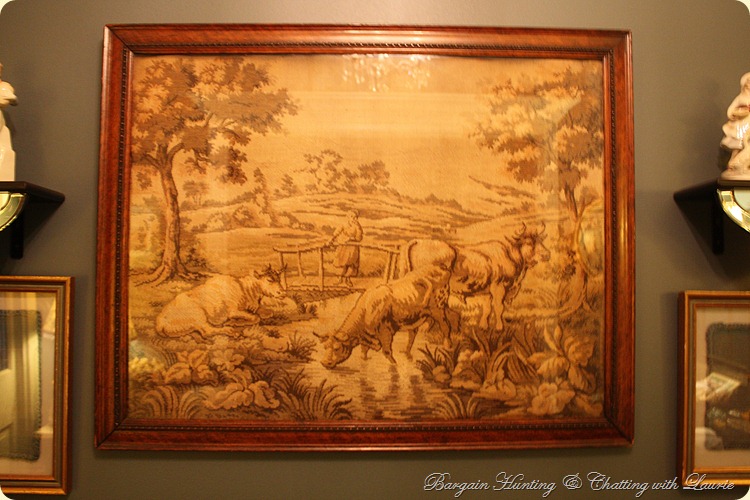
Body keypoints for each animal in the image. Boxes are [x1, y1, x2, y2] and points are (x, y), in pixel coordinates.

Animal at [155, 264, 286, 339]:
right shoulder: (233, 311)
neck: (246, 289)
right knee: (207, 332)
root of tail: (160, 323)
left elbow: (267, 313)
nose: (282, 293)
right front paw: (233, 323)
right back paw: (231, 331)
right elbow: (255, 318)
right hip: (199, 317)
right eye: (269, 279)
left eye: (278, 279)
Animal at [314, 261, 457, 369]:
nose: (324, 363)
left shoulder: (386, 331)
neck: (367, 308)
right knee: (413, 333)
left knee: (445, 326)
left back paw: (448, 346)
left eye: (337, 348)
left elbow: (387, 351)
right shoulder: (368, 335)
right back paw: (407, 352)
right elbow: (363, 350)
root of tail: (440, 266)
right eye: (325, 346)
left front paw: (395, 364)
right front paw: (364, 360)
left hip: (438, 309)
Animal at [401, 223, 550, 332]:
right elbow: (498, 307)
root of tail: (418, 241)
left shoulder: (487, 291)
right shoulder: (498, 287)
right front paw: (499, 328)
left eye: (540, 240)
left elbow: (487, 309)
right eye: (529, 243)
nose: (547, 254)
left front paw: (483, 326)